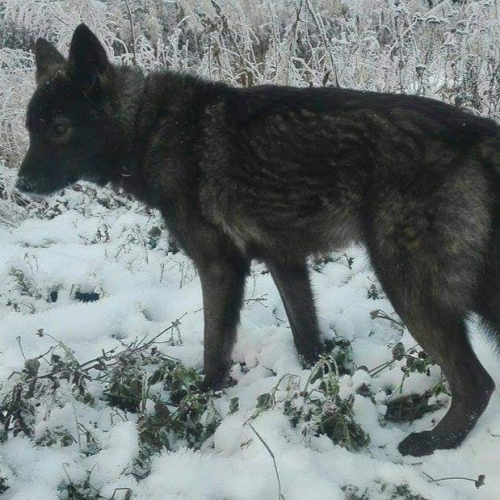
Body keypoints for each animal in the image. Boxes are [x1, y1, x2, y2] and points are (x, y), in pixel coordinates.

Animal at [16, 23, 500, 456]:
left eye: (58, 128)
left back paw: (434, 442)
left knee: (477, 383)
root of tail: (478, 132)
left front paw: (201, 398)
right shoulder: (284, 260)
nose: (20, 184)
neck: (150, 127)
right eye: (30, 128)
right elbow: (307, 337)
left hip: (410, 287)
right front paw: (319, 385)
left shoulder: (220, 267)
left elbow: (215, 347)